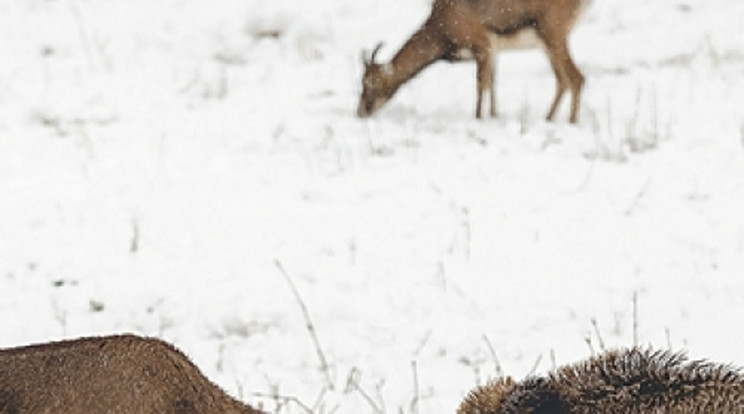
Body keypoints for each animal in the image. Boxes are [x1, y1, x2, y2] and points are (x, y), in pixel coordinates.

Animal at [358, 0, 592, 123]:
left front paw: (479, 118)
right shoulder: (492, 53)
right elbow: (492, 83)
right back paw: (548, 119)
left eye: (372, 82)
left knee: (576, 78)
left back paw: (570, 122)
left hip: (554, 40)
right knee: (563, 81)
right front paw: (494, 116)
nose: (360, 112)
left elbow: (481, 85)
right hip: (548, 47)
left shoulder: (482, 46)